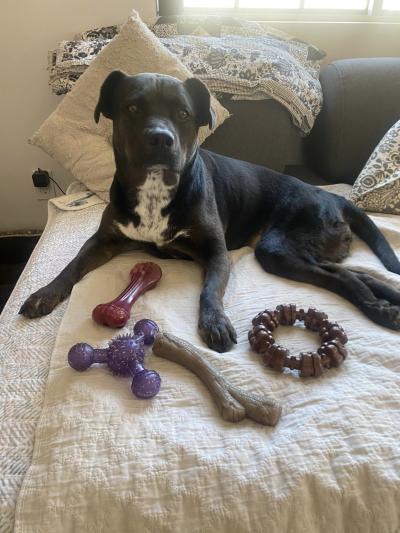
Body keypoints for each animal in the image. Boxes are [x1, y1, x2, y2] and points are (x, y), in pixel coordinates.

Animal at [19, 71, 400, 354]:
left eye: (183, 114)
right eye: (132, 108)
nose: (161, 138)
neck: (156, 190)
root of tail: (330, 195)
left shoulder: (216, 252)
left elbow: (210, 291)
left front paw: (215, 323)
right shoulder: (104, 241)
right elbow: (72, 266)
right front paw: (44, 295)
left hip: (279, 246)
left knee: (344, 276)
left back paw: (379, 310)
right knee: (353, 273)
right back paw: (387, 301)